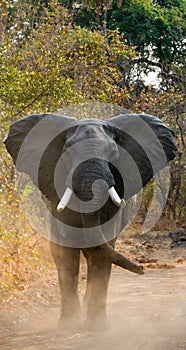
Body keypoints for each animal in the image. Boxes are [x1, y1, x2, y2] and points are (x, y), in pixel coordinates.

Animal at [3, 113, 177, 330]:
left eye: (114, 153)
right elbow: (69, 248)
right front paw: (68, 326)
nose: (142, 269)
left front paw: (98, 327)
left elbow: (102, 250)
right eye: (67, 152)